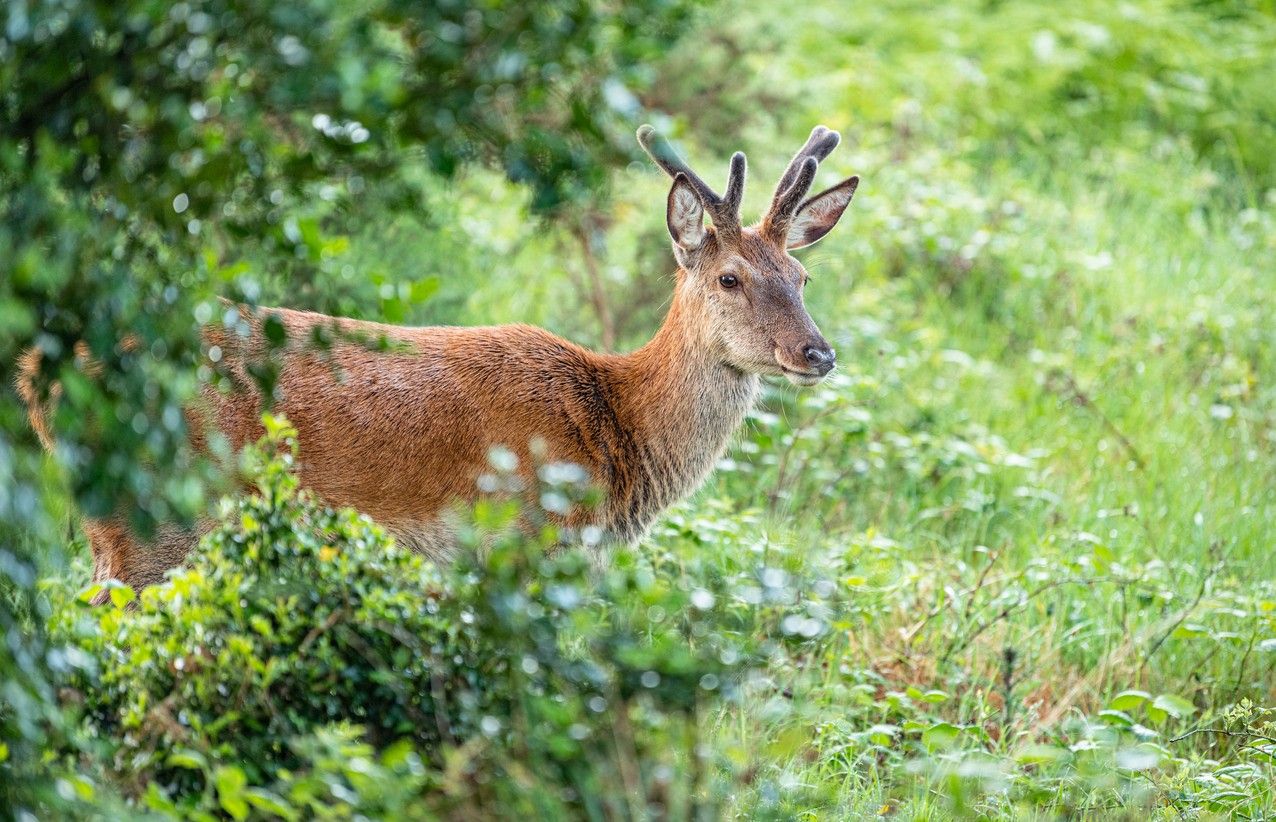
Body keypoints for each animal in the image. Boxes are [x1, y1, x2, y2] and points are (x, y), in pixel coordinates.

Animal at [17, 125, 857, 599]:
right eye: (730, 278)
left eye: (802, 277)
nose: (816, 352)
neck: (615, 435)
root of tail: (38, 375)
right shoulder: (525, 541)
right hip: (154, 519)